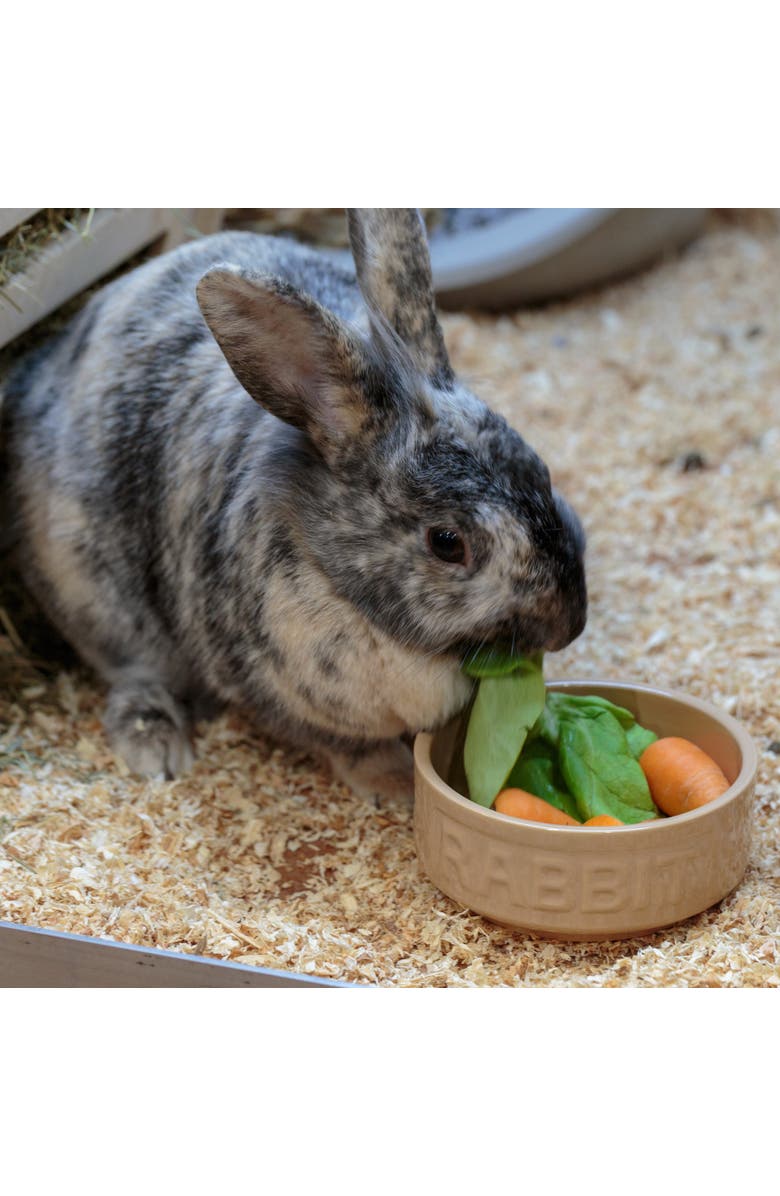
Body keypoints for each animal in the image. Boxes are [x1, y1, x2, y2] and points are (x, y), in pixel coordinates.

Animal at [0, 209, 587, 802]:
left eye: (541, 471)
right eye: (447, 543)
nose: (569, 625)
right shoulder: (282, 696)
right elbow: (350, 747)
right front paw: (395, 783)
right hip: (100, 603)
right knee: (133, 676)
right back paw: (158, 749)